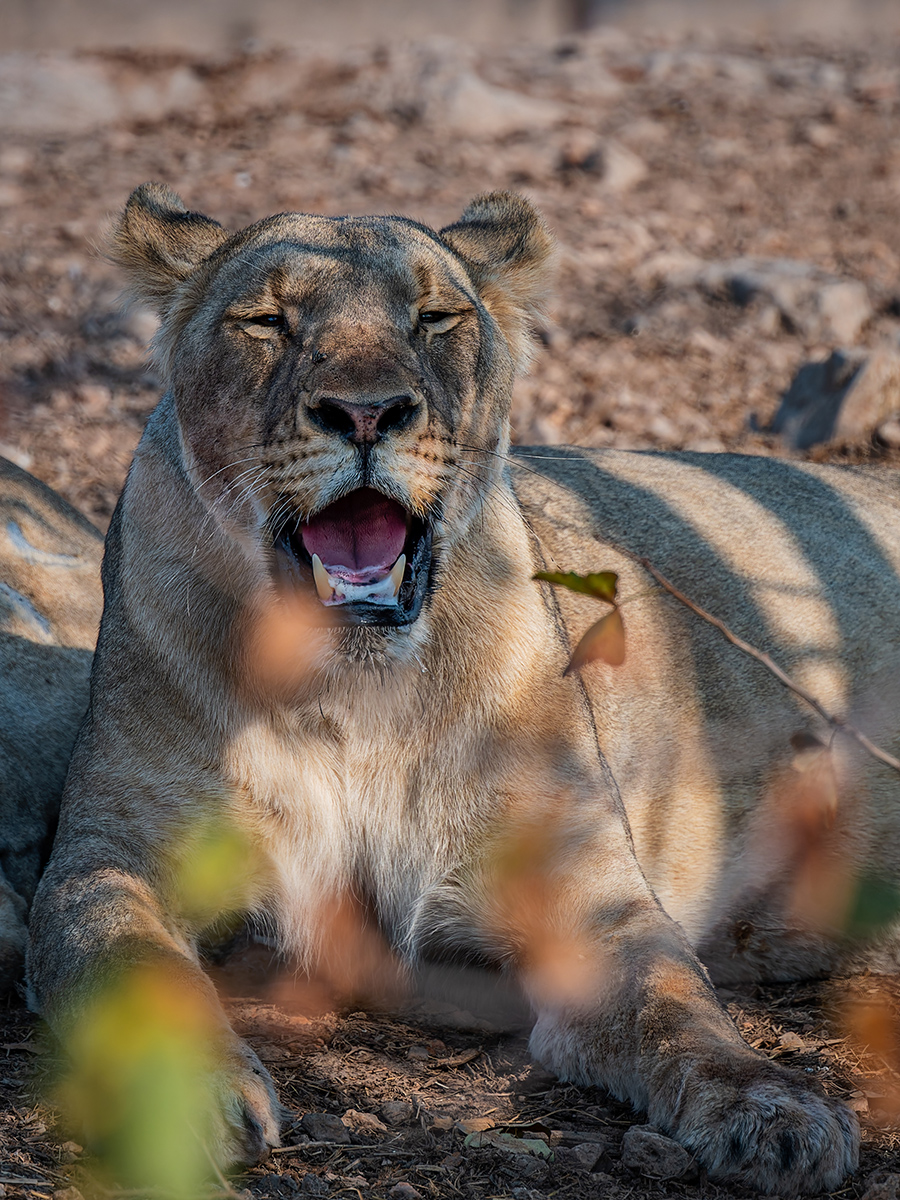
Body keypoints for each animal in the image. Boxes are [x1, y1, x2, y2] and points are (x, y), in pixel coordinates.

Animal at [19, 182, 900, 1194]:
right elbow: (131, 966)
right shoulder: (107, 857)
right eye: (269, 322)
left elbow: (674, 1003)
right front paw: (193, 1098)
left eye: (433, 318)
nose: (366, 414)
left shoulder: (588, 897)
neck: (355, 701)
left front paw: (773, 1109)